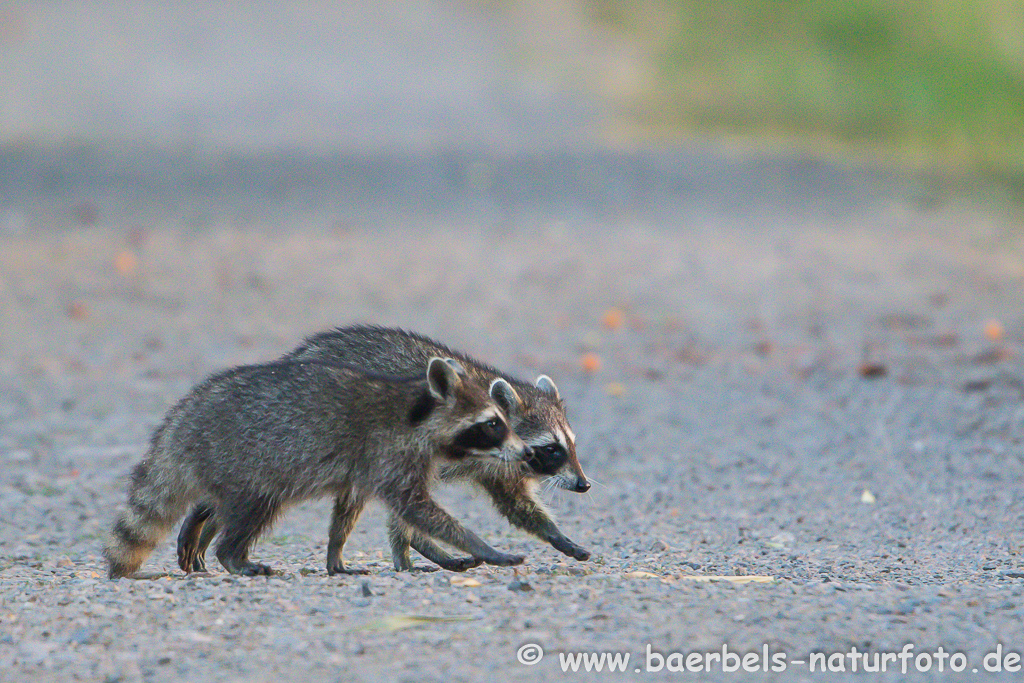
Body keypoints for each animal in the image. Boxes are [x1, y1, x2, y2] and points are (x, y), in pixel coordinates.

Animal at [103, 356, 528, 581]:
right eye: (493, 423)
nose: (524, 452)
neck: (417, 412)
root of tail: (184, 418)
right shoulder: (388, 453)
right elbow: (420, 510)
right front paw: (483, 545)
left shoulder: (366, 467)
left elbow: (348, 508)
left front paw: (335, 554)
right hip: (243, 460)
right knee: (254, 508)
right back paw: (234, 556)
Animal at [177, 325, 593, 573]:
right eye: (552, 450)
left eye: (572, 445)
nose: (584, 485)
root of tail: (290, 360)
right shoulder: (413, 451)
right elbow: (408, 510)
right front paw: (414, 552)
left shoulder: (496, 465)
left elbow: (516, 506)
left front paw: (558, 536)